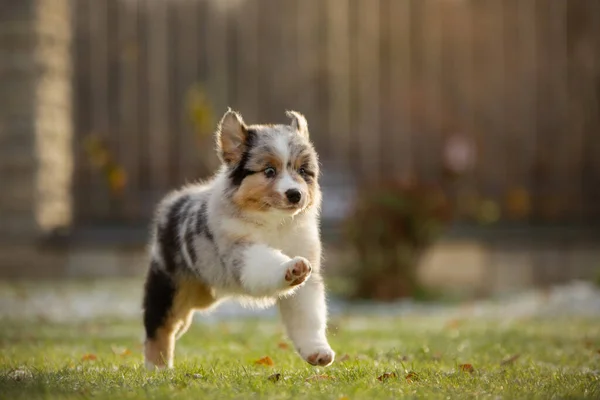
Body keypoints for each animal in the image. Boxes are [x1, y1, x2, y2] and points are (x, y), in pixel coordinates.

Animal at [142, 108, 336, 368]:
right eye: (269, 171)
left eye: (303, 171)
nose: (295, 194)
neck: (274, 223)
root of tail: (173, 201)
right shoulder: (241, 250)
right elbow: (267, 262)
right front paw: (290, 267)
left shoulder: (307, 271)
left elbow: (308, 316)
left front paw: (318, 351)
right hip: (169, 286)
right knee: (160, 326)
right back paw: (158, 368)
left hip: (201, 293)